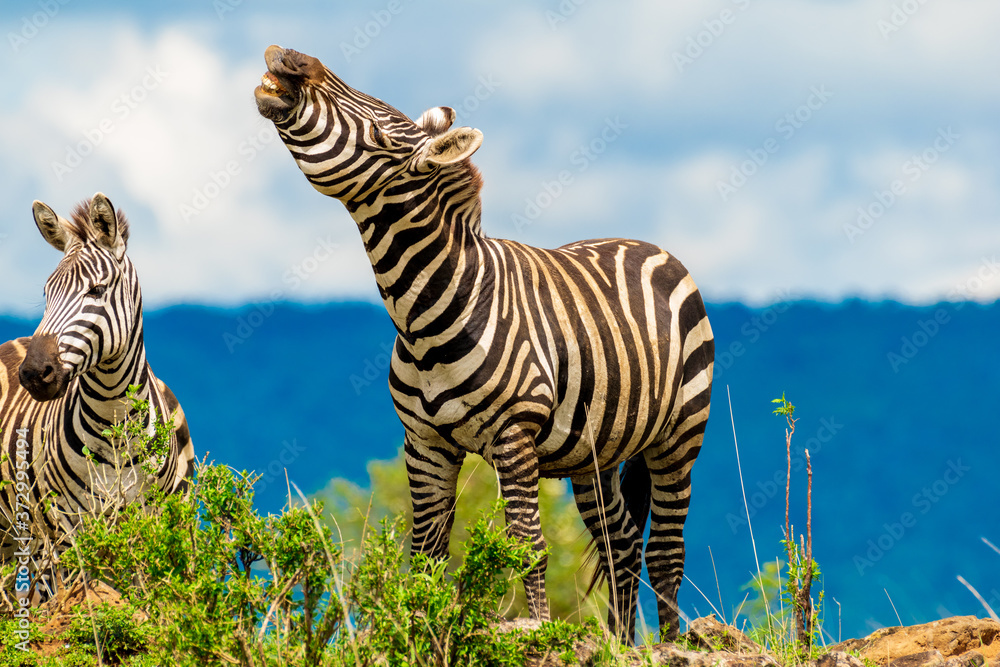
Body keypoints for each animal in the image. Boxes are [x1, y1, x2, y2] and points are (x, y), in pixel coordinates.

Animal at [0, 193, 195, 575]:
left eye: (98, 289)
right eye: (46, 293)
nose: (33, 374)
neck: (114, 415)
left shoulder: (150, 526)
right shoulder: (68, 531)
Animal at [255, 46, 713, 641]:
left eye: (378, 132)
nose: (290, 57)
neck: (426, 318)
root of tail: (644, 243)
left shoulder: (515, 436)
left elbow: (529, 547)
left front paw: (538, 630)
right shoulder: (424, 442)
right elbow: (426, 553)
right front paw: (419, 632)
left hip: (679, 436)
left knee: (665, 553)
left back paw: (671, 644)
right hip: (595, 455)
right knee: (622, 544)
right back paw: (619, 644)